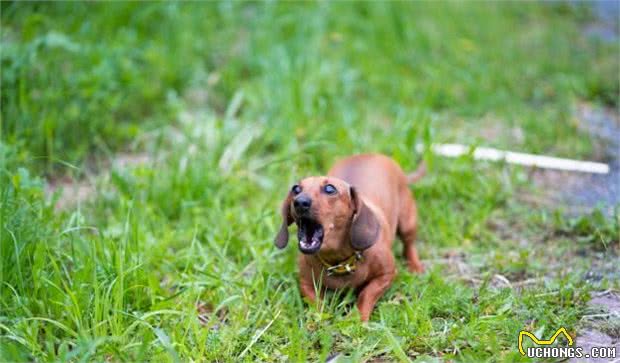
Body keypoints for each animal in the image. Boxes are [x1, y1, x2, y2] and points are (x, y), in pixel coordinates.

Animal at [274, 154, 424, 322]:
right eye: (296, 189)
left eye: (330, 188)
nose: (299, 202)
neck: (339, 261)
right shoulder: (306, 283)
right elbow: (316, 302)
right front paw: (318, 320)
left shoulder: (387, 274)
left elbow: (366, 293)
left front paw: (357, 318)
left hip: (407, 223)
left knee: (409, 245)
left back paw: (415, 266)